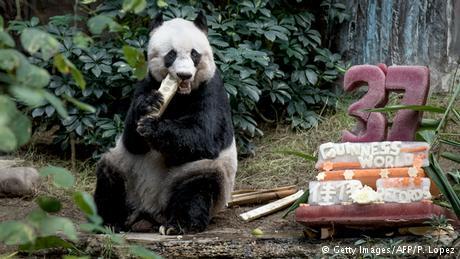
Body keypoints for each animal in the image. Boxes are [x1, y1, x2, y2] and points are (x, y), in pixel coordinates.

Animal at [93, 10, 237, 236]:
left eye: (194, 54)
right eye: (171, 54)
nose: (184, 75)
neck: (180, 94)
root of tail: (149, 211)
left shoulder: (212, 89)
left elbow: (204, 136)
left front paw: (152, 128)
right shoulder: (146, 82)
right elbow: (131, 140)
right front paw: (149, 106)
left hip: (193, 174)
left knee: (198, 186)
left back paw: (178, 224)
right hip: (127, 170)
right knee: (110, 177)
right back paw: (109, 221)